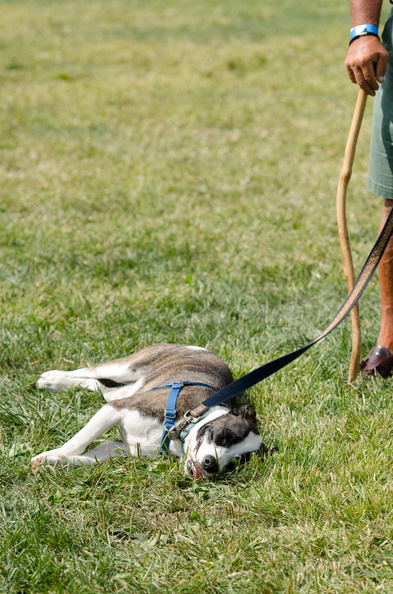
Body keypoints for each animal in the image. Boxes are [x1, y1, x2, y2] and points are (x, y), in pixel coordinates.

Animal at [30, 342, 264, 476]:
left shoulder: (122, 446)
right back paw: (53, 379)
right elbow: (78, 442)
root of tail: (203, 348)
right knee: (89, 371)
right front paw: (53, 454)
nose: (211, 465)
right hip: (127, 368)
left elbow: (89, 457)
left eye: (234, 463)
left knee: (99, 386)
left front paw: (55, 461)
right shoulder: (115, 409)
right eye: (224, 436)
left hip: (125, 390)